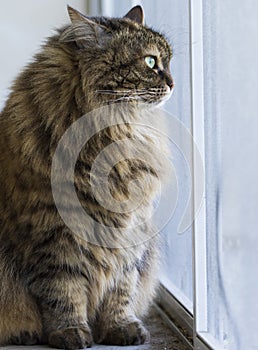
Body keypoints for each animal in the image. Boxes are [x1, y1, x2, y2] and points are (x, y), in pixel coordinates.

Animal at [0, 5, 173, 350]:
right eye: (150, 62)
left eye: (168, 60)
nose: (173, 83)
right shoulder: (54, 234)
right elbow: (63, 292)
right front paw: (70, 333)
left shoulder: (129, 234)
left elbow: (121, 289)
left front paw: (120, 329)